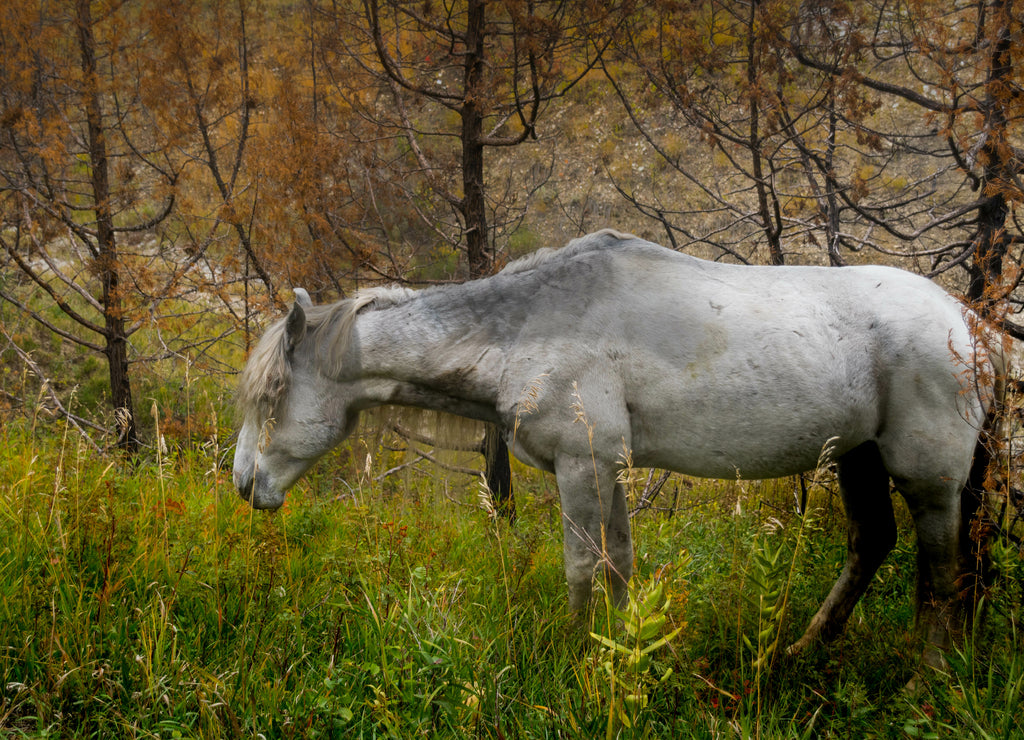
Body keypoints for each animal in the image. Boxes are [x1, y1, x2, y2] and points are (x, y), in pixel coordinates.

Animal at [233, 229, 1004, 670]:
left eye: (270, 399)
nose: (243, 483)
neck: (527, 326)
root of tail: (971, 326)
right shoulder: (611, 470)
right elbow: (620, 564)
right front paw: (627, 645)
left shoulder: (582, 467)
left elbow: (581, 567)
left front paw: (575, 658)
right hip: (858, 457)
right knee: (872, 544)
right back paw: (803, 650)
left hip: (929, 480)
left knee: (941, 570)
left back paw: (930, 672)